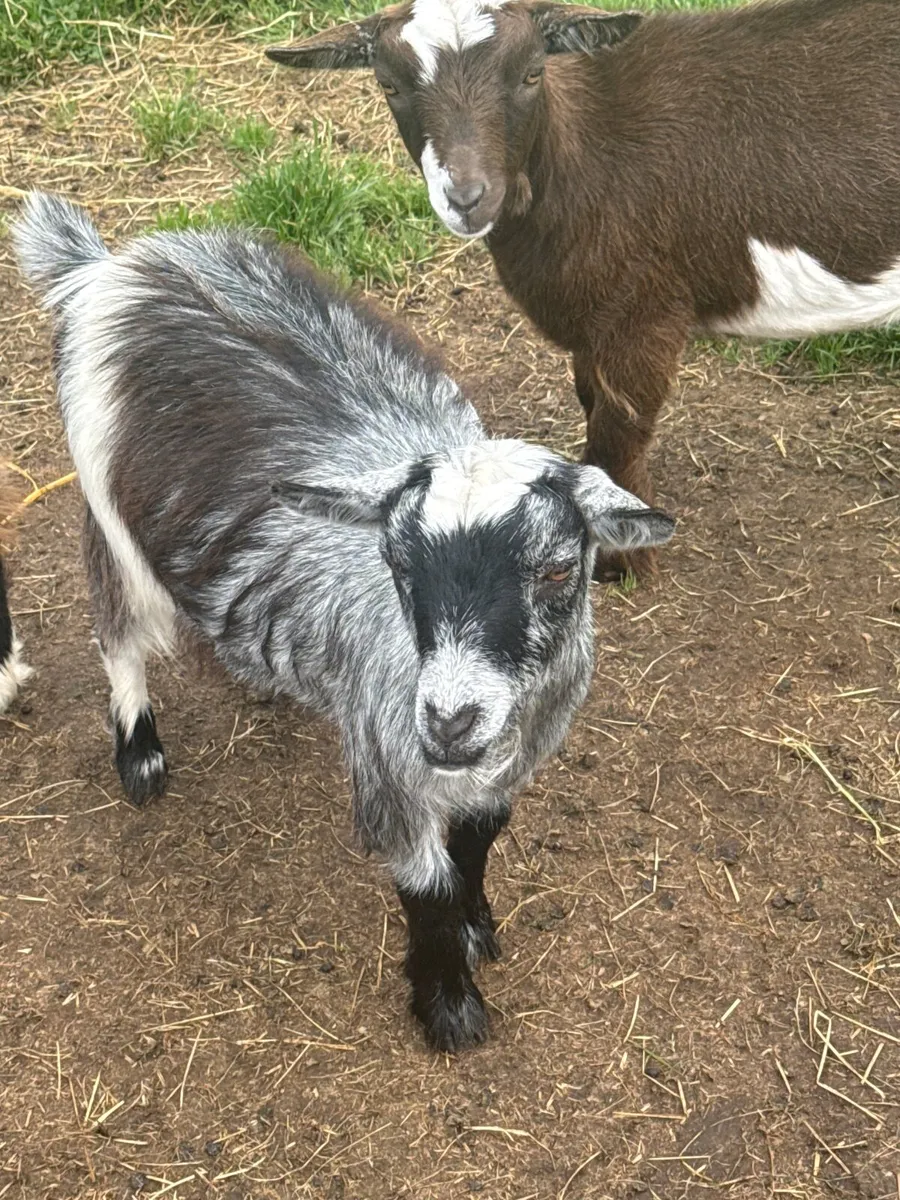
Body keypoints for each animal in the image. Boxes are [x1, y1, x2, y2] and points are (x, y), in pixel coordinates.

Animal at [13, 192, 673, 1051]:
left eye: (560, 568)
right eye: (397, 563)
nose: (450, 719)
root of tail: (108, 267)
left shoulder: (508, 763)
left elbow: (477, 843)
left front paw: (477, 927)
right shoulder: (388, 756)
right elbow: (427, 883)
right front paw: (448, 1007)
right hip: (110, 515)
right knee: (119, 633)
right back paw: (140, 755)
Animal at [267, 0, 900, 577]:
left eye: (531, 74)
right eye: (389, 84)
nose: (468, 197)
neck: (587, 153)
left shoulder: (642, 313)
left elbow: (618, 429)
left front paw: (622, 561)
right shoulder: (596, 324)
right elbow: (590, 402)